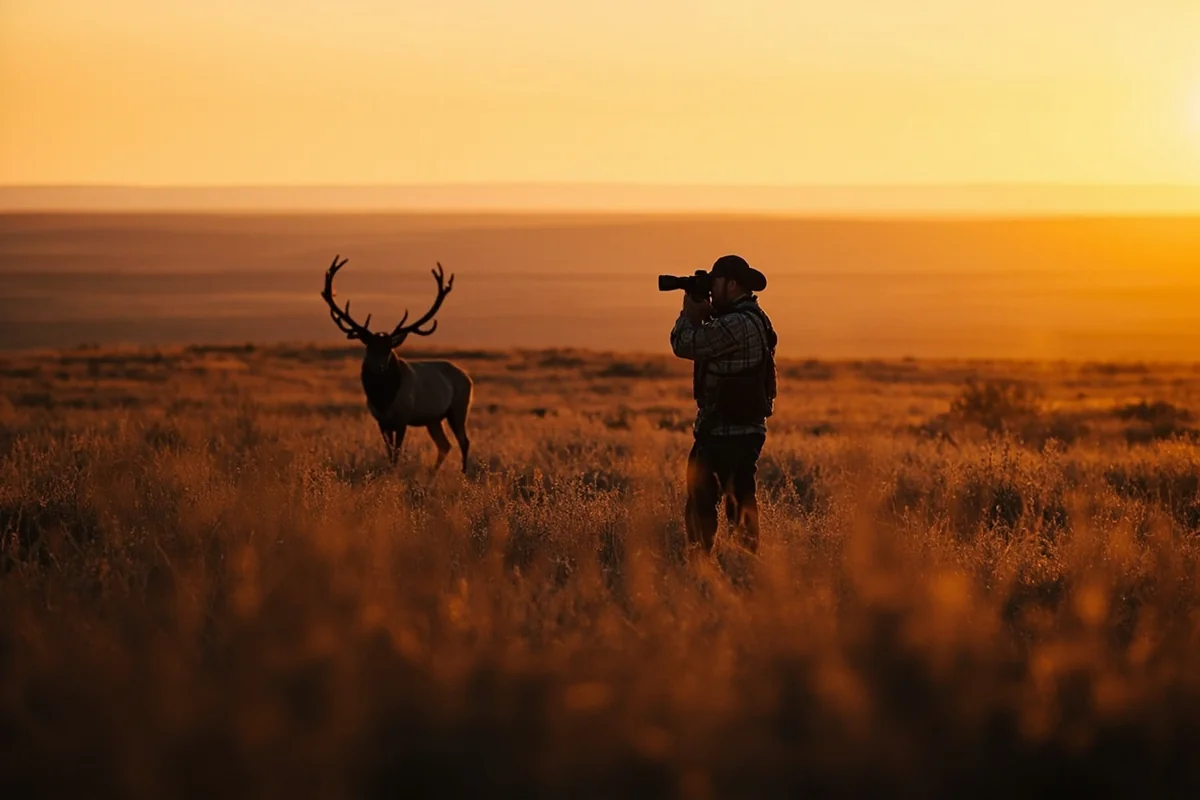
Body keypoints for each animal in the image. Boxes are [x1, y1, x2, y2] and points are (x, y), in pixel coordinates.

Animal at [320, 255, 473, 475]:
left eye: (388, 349)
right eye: (369, 347)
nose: (379, 367)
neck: (383, 399)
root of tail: (468, 378)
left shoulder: (402, 418)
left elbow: (397, 455)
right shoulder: (381, 422)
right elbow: (389, 454)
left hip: (459, 407)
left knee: (464, 441)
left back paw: (464, 475)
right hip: (433, 418)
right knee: (444, 444)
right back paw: (432, 476)